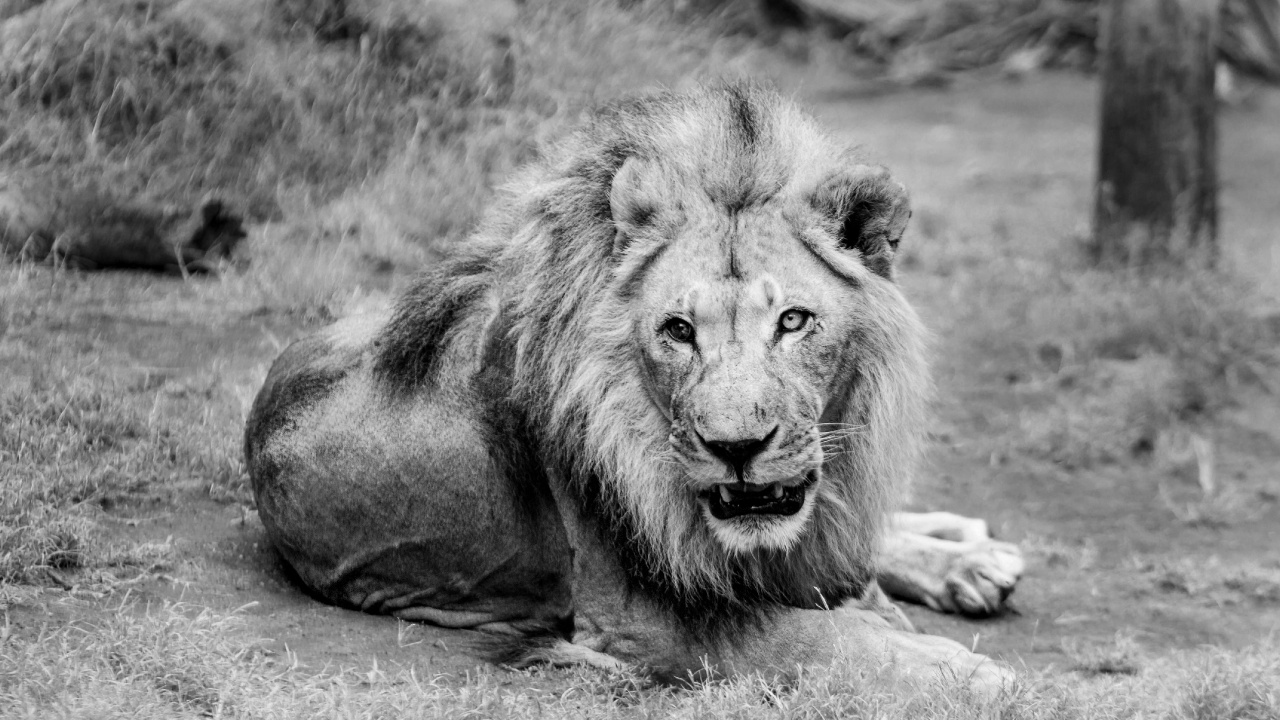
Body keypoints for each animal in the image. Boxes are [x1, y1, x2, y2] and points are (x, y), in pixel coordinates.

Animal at [244, 81, 1023, 690]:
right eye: (678, 330)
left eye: (794, 321)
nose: (736, 448)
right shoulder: (636, 618)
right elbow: (821, 636)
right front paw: (965, 672)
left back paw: (970, 552)